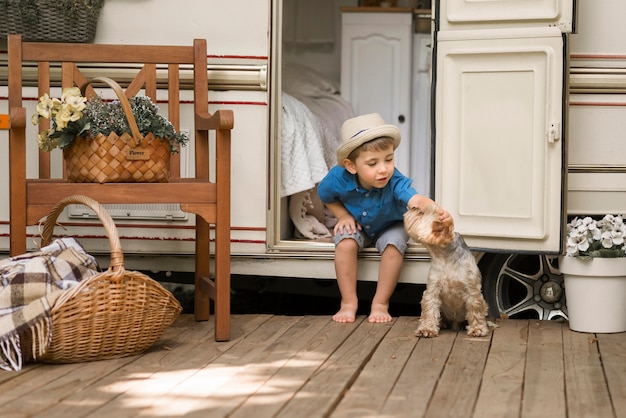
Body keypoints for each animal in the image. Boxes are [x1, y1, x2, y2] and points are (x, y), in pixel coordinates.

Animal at [402, 206, 490, 340]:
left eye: (421, 213)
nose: (413, 207)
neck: (444, 257)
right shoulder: (432, 290)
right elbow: (429, 310)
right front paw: (427, 329)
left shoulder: (472, 291)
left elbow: (475, 310)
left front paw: (478, 329)